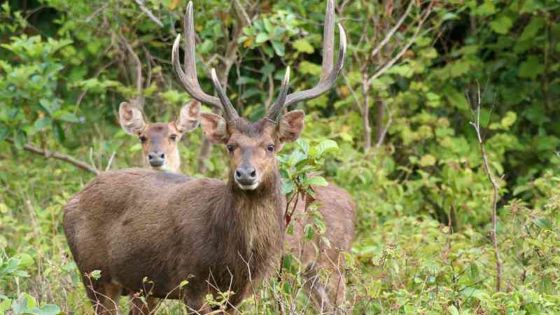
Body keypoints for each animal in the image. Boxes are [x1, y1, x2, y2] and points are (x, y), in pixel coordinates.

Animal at [64, 1, 346, 314]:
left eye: (271, 146)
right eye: (231, 145)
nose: (246, 174)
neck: (233, 259)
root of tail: (71, 202)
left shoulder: (236, 294)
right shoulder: (192, 282)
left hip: (141, 288)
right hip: (94, 274)